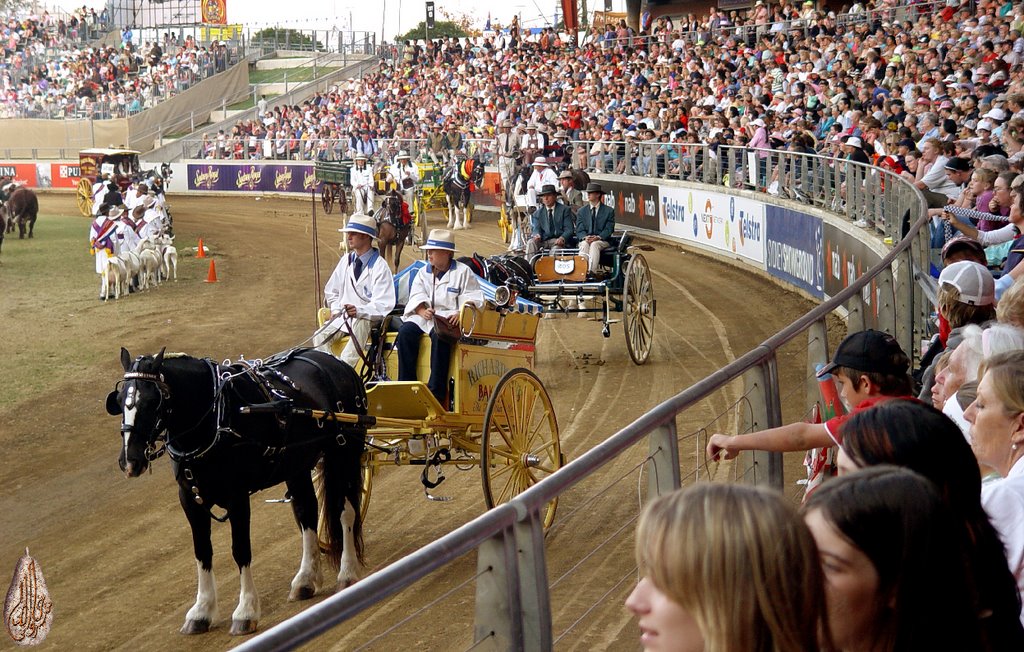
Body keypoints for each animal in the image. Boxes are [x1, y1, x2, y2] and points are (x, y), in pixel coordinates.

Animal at [103, 345, 366, 634]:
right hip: (297, 466)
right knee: (306, 512)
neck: (216, 417)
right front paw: (202, 611)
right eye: (120, 400)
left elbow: (240, 550)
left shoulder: (237, 497)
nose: (130, 461)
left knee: (345, 511)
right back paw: (306, 580)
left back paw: (347, 572)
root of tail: (337, 364)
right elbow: (202, 551)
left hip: (344, 452)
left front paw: (245, 611)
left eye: (153, 401)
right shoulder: (190, 500)